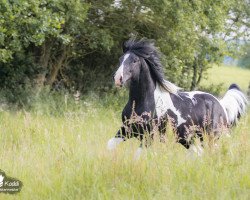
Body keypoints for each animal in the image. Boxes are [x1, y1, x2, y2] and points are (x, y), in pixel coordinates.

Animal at [107, 38, 248, 158]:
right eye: (121, 59)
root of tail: (220, 104)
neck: (143, 102)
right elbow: (110, 145)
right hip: (190, 137)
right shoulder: (127, 129)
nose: (118, 79)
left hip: (210, 135)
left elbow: (138, 156)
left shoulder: (149, 135)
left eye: (135, 60)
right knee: (199, 153)